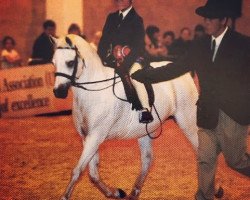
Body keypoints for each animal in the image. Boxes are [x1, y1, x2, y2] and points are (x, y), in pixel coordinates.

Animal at [52, 35, 199, 199]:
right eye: (53, 62)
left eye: (70, 63)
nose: (58, 92)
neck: (93, 92)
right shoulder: (87, 138)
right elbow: (93, 174)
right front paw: (115, 192)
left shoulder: (96, 136)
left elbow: (77, 171)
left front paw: (65, 196)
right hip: (144, 132)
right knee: (147, 160)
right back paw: (134, 193)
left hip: (188, 122)